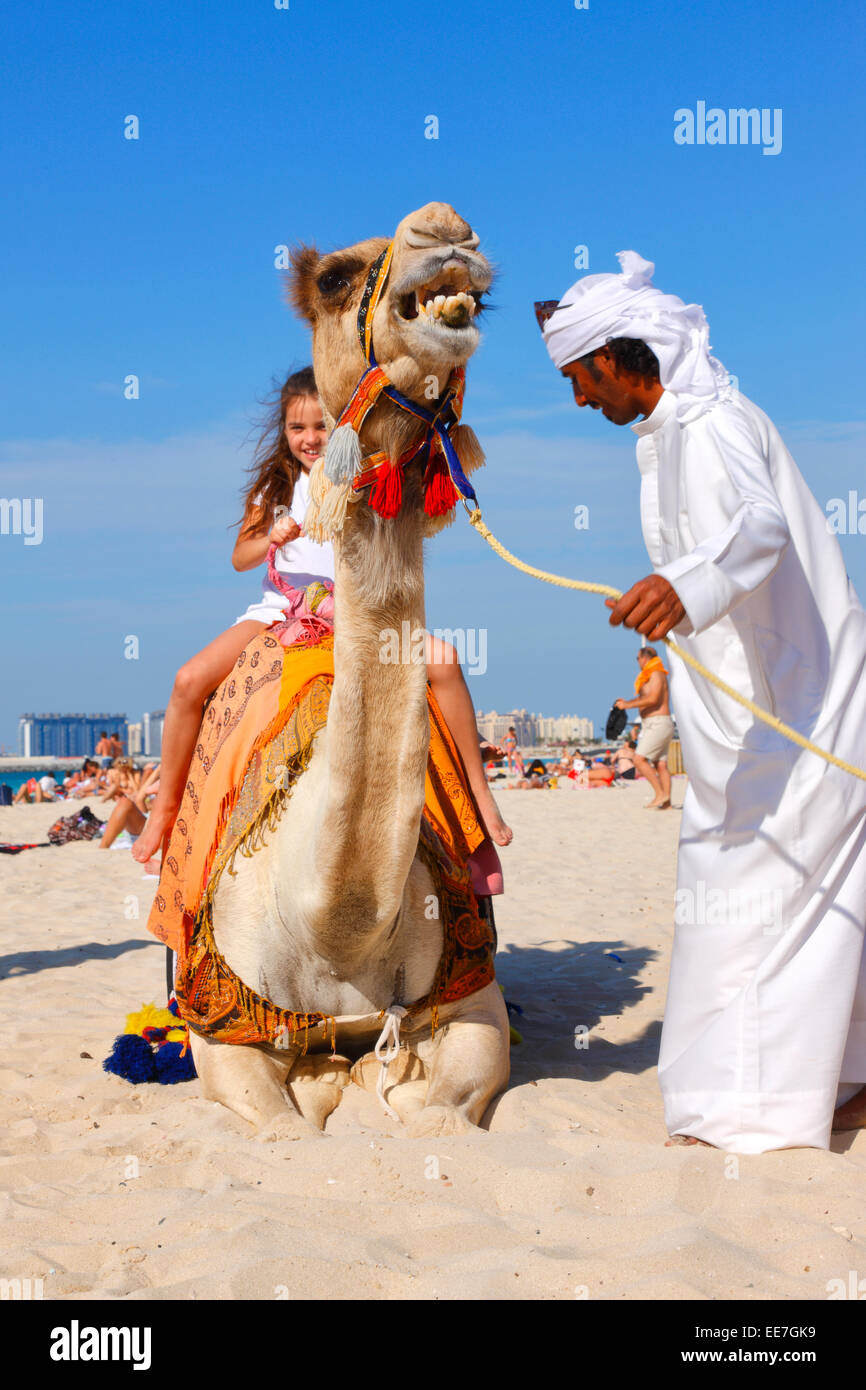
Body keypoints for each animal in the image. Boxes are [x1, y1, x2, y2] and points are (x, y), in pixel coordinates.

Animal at [189, 205, 511, 1139]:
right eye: (335, 277)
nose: (447, 229)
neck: (334, 933)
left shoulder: (476, 1000)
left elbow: (439, 1116)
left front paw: (375, 1084)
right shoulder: (219, 1028)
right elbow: (283, 1126)